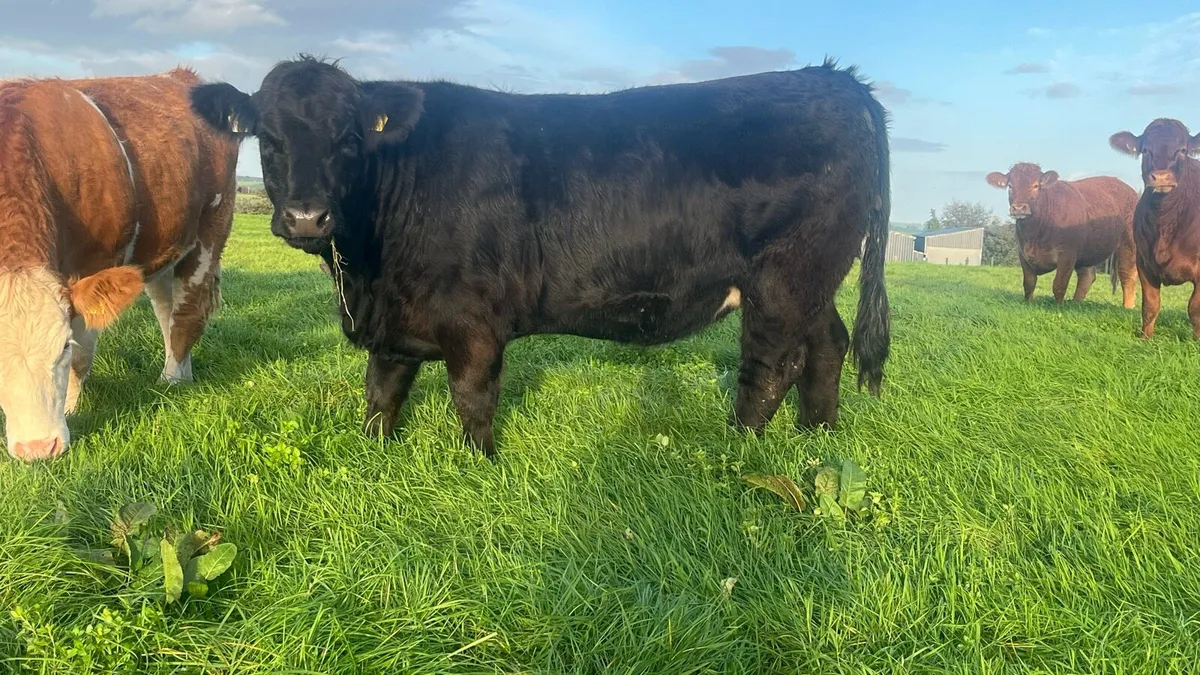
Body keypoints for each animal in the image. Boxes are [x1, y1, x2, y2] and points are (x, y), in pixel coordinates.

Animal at [0, 69, 239, 461]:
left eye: (63, 346)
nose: (37, 449)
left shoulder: (96, 264)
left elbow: (83, 354)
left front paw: (72, 409)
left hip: (211, 230)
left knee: (187, 313)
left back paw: (172, 380)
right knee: (166, 311)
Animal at [189, 55, 891, 457]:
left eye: (349, 139)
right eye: (268, 139)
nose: (307, 217)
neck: (367, 272)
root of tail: (835, 80)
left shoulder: (472, 320)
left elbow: (472, 397)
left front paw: (477, 469)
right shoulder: (394, 319)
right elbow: (381, 394)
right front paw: (374, 460)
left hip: (785, 276)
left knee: (773, 365)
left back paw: (735, 455)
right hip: (815, 278)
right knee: (828, 344)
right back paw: (816, 438)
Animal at [985, 163, 1138, 307]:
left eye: (1036, 185)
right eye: (1010, 186)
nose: (1018, 208)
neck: (1034, 235)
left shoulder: (1067, 253)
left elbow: (1059, 284)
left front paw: (1058, 307)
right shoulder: (1022, 252)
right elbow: (1029, 283)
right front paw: (1028, 303)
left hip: (1128, 244)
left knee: (1128, 276)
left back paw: (1127, 307)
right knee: (1087, 276)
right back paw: (1075, 304)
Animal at [1110, 119, 1200, 339]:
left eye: (1183, 150)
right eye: (1145, 150)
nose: (1161, 177)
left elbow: (1195, 308)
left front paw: (1196, 339)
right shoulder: (1144, 262)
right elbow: (1150, 305)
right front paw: (1146, 338)